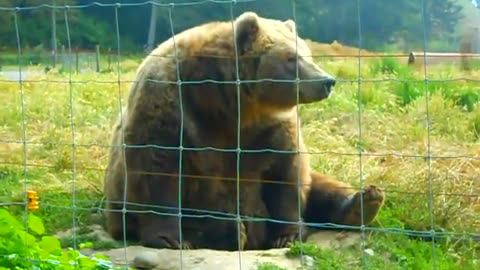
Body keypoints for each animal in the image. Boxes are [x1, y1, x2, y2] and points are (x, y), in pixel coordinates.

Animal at [103, 11, 384, 251]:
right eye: (291, 58)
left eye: (307, 54)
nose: (327, 81)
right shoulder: (171, 106)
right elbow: (158, 168)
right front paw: (169, 239)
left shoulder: (269, 129)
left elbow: (286, 173)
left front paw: (287, 235)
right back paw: (228, 231)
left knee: (321, 186)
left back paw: (365, 200)